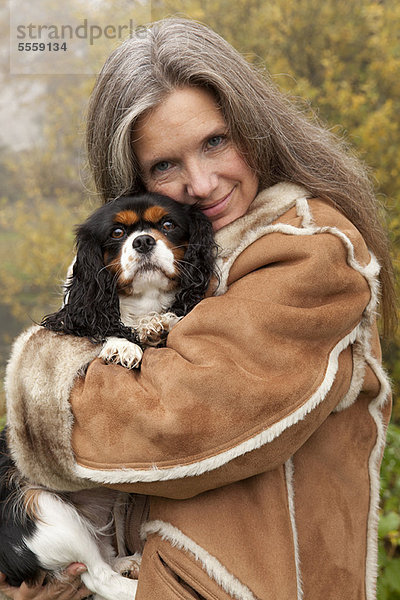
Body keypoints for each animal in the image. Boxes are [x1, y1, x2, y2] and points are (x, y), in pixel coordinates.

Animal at [0, 195, 216, 596]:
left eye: (167, 225)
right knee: (99, 577)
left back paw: (128, 562)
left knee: (104, 561)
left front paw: (157, 324)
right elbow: (101, 333)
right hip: (39, 505)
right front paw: (122, 344)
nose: (143, 241)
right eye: (116, 233)